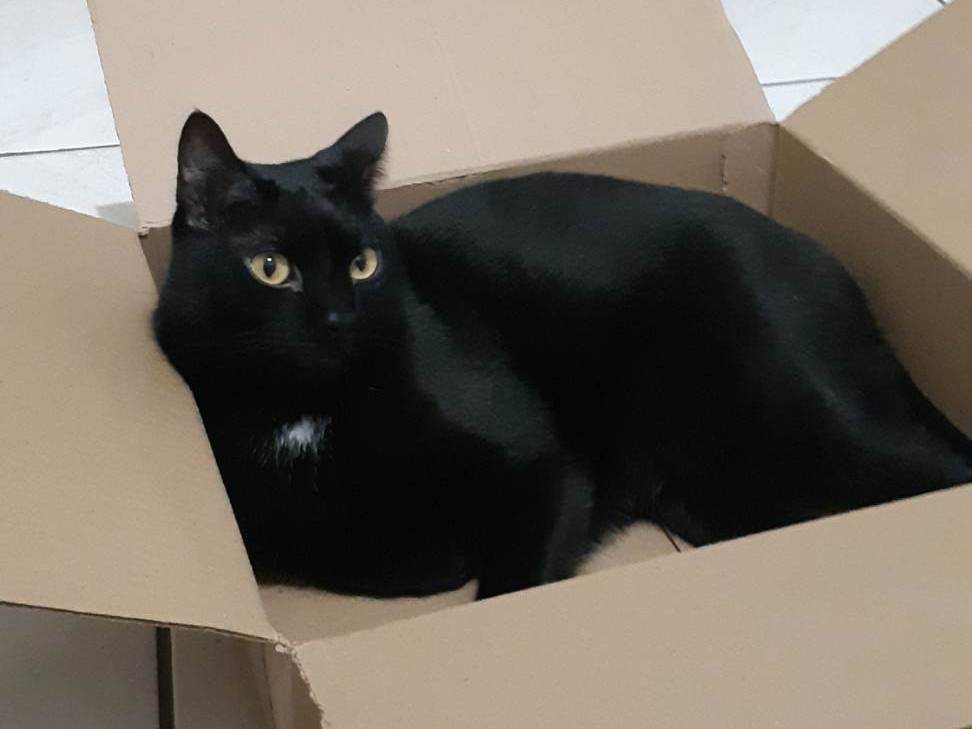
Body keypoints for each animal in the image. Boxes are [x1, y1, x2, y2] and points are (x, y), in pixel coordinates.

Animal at [153, 110, 971, 600]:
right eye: (271, 268)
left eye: (362, 265)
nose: (337, 318)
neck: (309, 412)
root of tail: (827, 260)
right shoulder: (267, 524)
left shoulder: (544, 469)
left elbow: (510, 581)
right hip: (722, 491)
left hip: (808, 409)